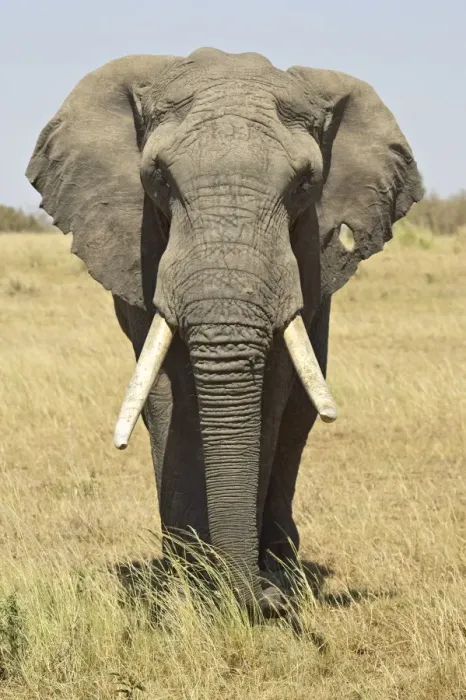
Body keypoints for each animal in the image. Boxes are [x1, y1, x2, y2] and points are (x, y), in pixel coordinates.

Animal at [26, 47, 423, 614]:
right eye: (159, 177)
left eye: (305, 183)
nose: (267, 601)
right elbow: (166, 389)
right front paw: (193, 586)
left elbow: (273, 390)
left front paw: (247, 583)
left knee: (299, 415)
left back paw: (280, 562)